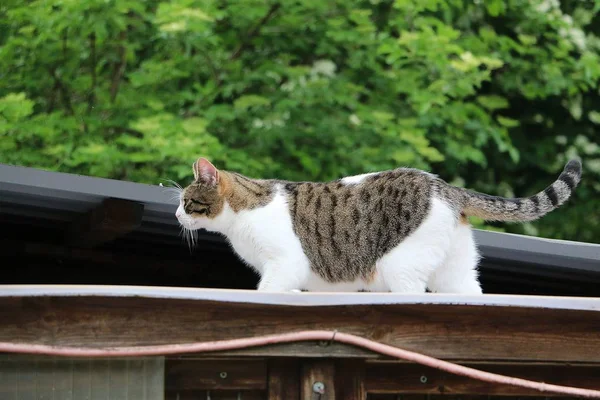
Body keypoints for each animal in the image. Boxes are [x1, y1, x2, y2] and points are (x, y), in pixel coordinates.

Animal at [175, 157, 580, 294]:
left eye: (185, 201)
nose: (177, 215)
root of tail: (445, 186)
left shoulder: (284, 263)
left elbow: (270, 288)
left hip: (401, 264)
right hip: (456, 268)